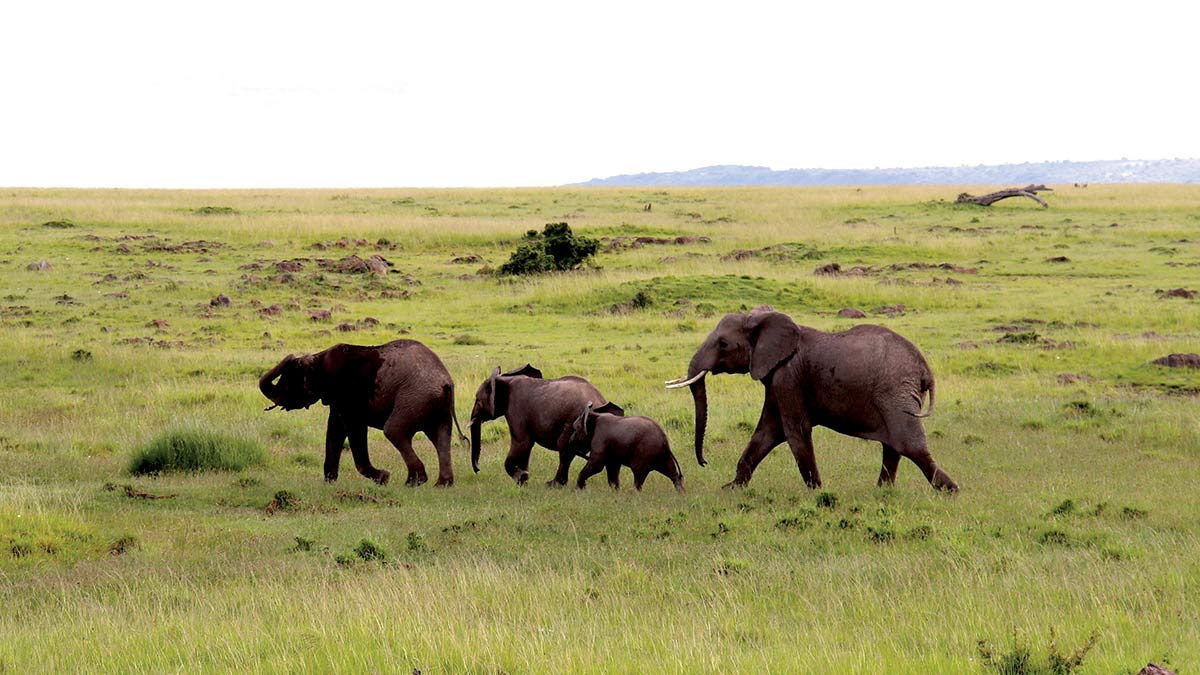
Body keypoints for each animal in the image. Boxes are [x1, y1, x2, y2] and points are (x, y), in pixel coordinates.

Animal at [259, 339, 465, 487]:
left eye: (287, 383)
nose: (291, 356)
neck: (319, 360)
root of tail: (446, 382)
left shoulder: (347, 394)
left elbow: (353, 428)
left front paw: (383, 478)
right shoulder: (337, 399)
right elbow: (335, 431)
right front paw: (329, 483)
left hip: (415, 397)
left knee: (394, 431)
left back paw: (414, 482)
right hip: (434, 403)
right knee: (441, 437)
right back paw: (441, 484)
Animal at [468, 364, 622, 486]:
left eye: (478, 400)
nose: (477, 469)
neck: (504, 379)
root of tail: (600, 402)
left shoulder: (516, 409)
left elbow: (522, 443)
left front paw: (521, 476)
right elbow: (526, 447)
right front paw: (523, 481)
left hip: (574, 418)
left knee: (564, 447)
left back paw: (553, 485)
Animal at [666, 309, 958, 492]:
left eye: (723, 344)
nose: (704, 463)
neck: (762, 319)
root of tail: (925, 369)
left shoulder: (788, 376)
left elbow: (794, 430)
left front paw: (816, 492)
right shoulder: (776, 377)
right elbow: (767, 433)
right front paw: (731, 488)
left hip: (894, 392)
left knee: (909, 445)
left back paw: (950, 490)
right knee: (893, 447)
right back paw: (881, 492)